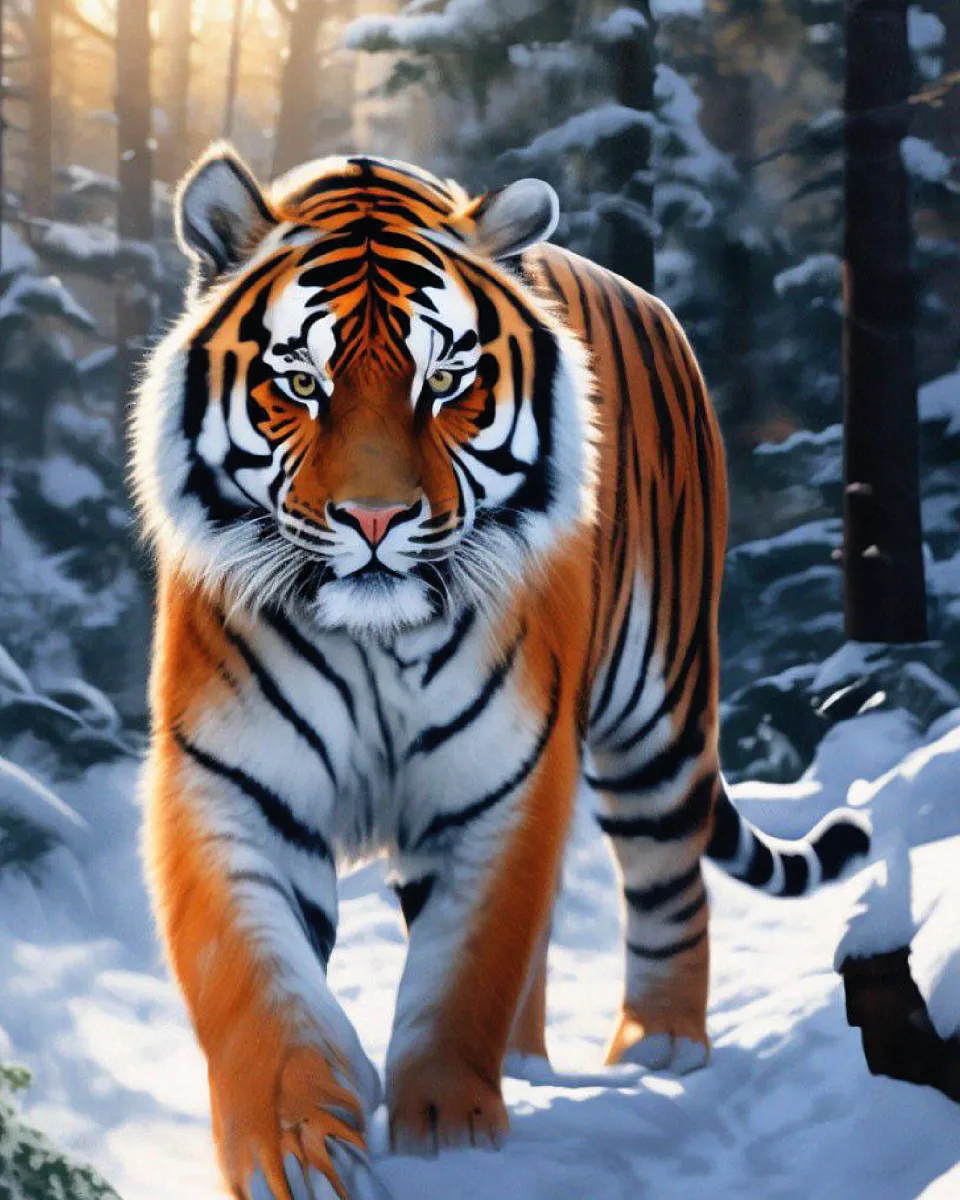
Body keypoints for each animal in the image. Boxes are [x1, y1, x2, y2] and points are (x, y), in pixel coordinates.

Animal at [133, 144, 870, 1200]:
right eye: (302, 381)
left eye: (445, 381)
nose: (374, 517)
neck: (373, 640)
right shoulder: (229, 782)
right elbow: (256, 986)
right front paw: (299, 1153)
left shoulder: (500, 781)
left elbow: (462, 971)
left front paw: (451, 1138)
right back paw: (532, 1062)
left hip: (657, 707)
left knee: (669, 881)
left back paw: (660, 1048)